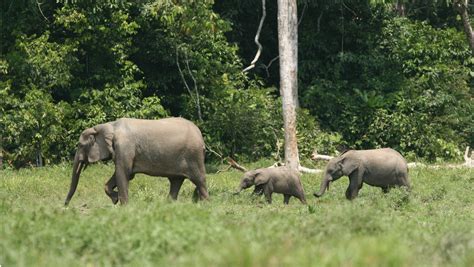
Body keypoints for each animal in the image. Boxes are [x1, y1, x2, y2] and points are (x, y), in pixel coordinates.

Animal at [64, 118, 208, 206]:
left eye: (80, 145)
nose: (65, 206)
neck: (109, 126)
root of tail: (199, 134)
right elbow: (124, 174)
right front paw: (115, 200)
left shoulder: (125, 147)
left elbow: (123, 173)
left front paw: (123, 207)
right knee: (176, 181)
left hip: (193, 156)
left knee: (199, 180)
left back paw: (205, 205)